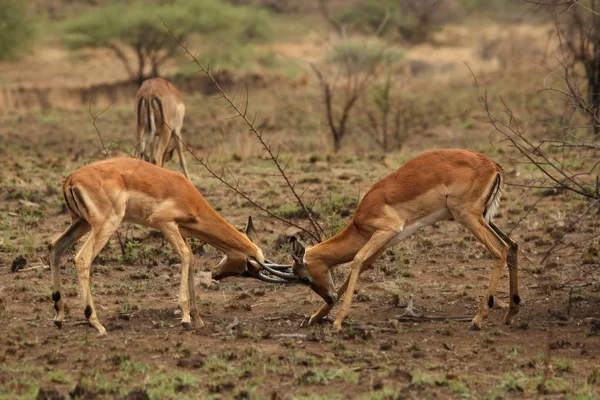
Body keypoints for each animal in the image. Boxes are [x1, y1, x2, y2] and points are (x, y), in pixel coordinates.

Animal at [48, 156, 288, 334]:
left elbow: (191, 259)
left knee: (54, 247)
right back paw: (96, 323)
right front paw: (185, 318)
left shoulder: (182, 231)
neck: (186, 194)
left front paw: (198, 318)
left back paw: (59, 316)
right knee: (82, 258)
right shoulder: (166, 224)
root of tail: (71, 179)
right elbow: (185, 256)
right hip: (105, 224)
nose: (216, 275)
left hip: (80, 223)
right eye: (247, 270)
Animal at [262, 148, 520, 330]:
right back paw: (511, 313)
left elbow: (356, 261)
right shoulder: (384, 241)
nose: (329, 296)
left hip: (466, 216)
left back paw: (478, 318)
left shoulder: (386, 231)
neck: (359, 222)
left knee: (499, 251)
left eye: (304, 278)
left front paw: (338, 321)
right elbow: (361, 266)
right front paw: (315, 317)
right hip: (484, 217)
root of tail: (492, 165)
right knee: (513, 246)